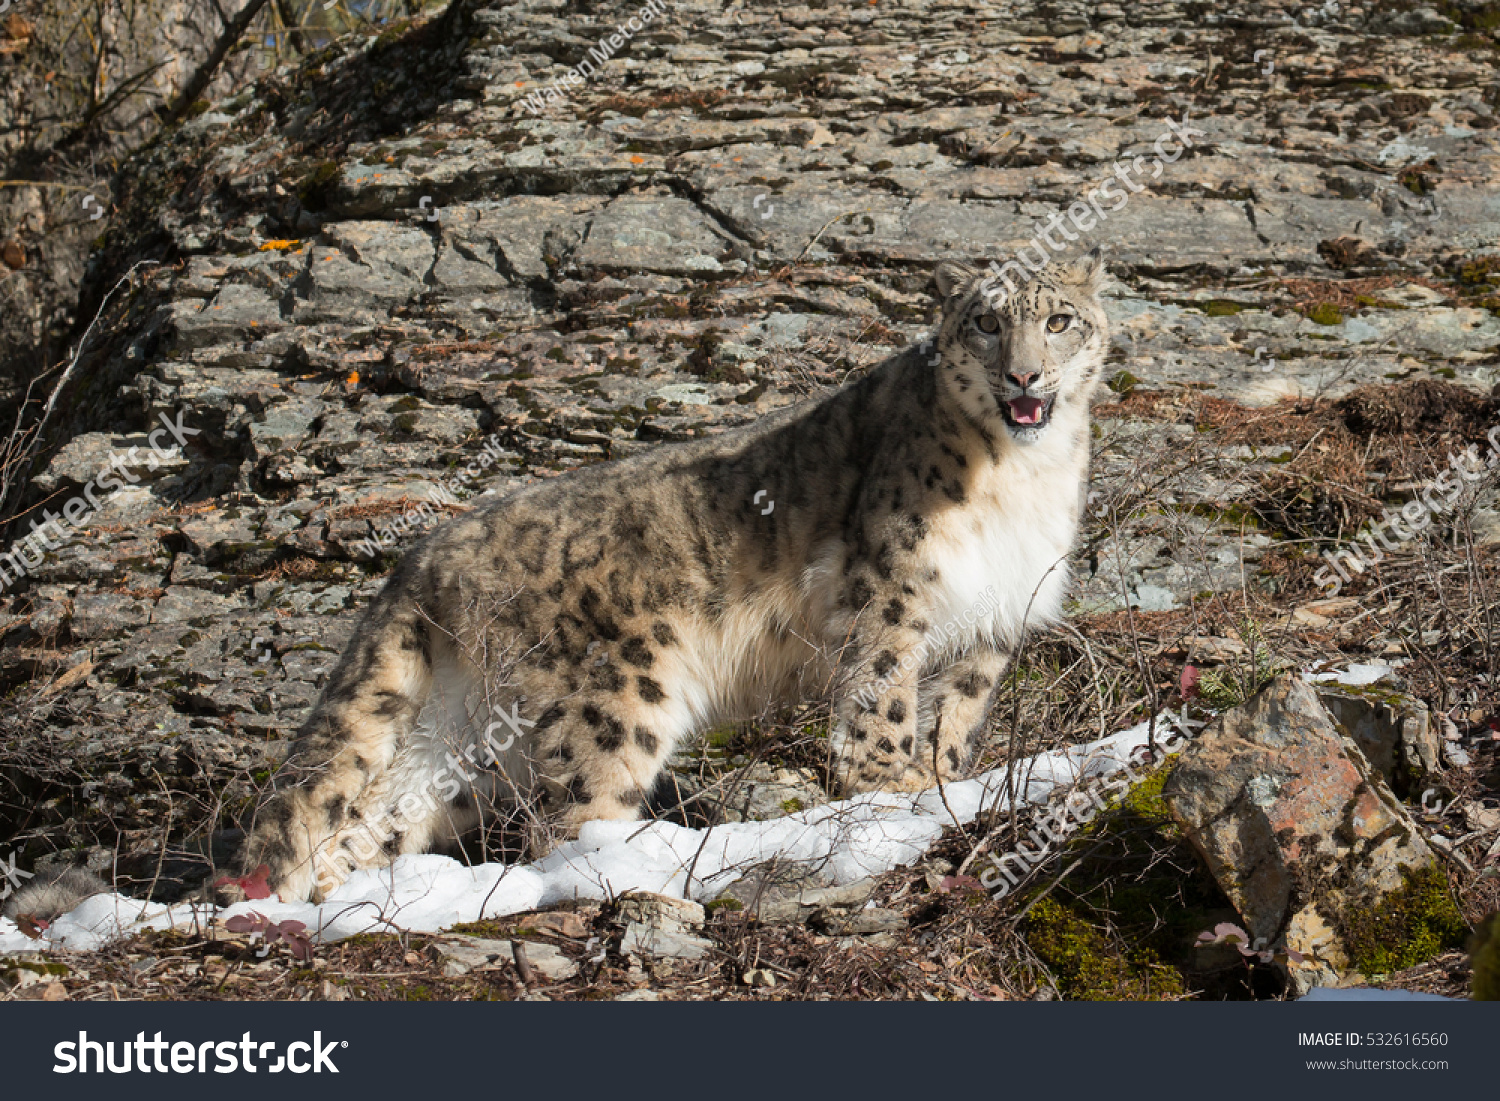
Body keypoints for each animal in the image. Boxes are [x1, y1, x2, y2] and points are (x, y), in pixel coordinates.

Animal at [237, 252, 1116, 906]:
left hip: (459, 740)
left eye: (1059, 321)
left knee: (370, 821)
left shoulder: (991, 621)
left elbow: (951, 720)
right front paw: (889, 787)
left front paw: (941, 786)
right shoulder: (894, 592)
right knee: (571, 820)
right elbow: (885, 697)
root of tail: (430, 552)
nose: (1026, 378)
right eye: (987, 321)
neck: (1022, 476)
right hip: (612, 702)